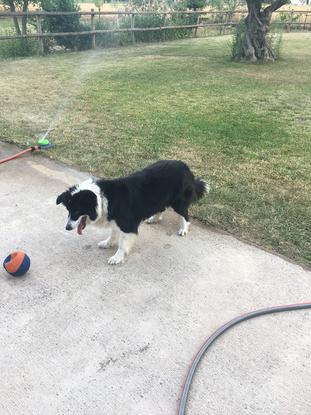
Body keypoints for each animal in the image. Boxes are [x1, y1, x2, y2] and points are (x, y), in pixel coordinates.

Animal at [57, 161, 211, 264]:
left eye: (77, 210)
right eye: (68, 210)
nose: (67, 227)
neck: (103, 198)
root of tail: (185, 167)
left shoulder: (127, 225)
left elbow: (122, 243)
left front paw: (117, 257)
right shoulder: (115, 220)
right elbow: (113, 234)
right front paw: (107, 243)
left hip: (178, 202)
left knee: (185, 214)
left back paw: (183, 228)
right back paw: (153, 219)